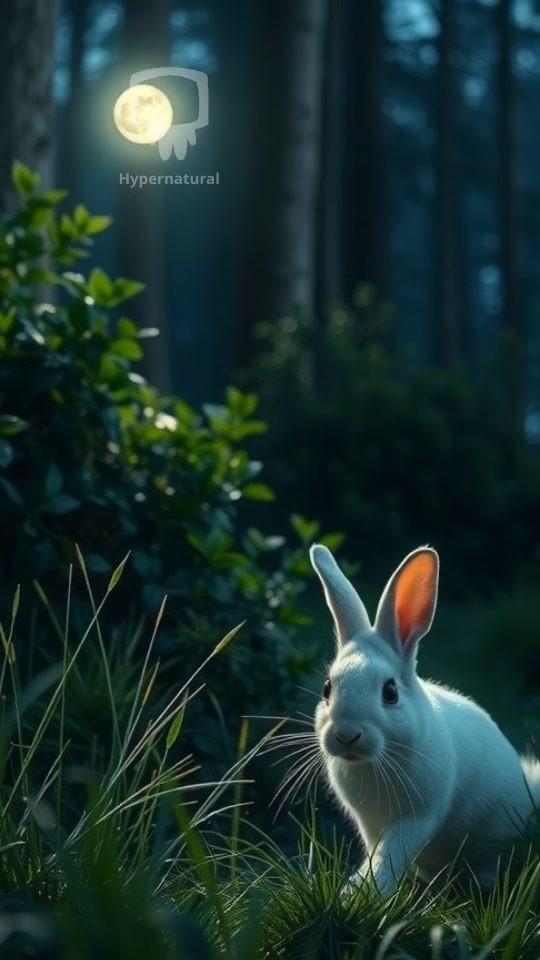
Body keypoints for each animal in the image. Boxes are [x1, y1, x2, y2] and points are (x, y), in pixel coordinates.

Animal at [309, 543, 540, 897]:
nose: (347, 735)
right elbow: (378, 852)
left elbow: (389, 854)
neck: (376, 761)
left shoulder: (417, 817)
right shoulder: (370, 825)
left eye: (390, 692)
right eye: (327, 688)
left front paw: (360, 893)